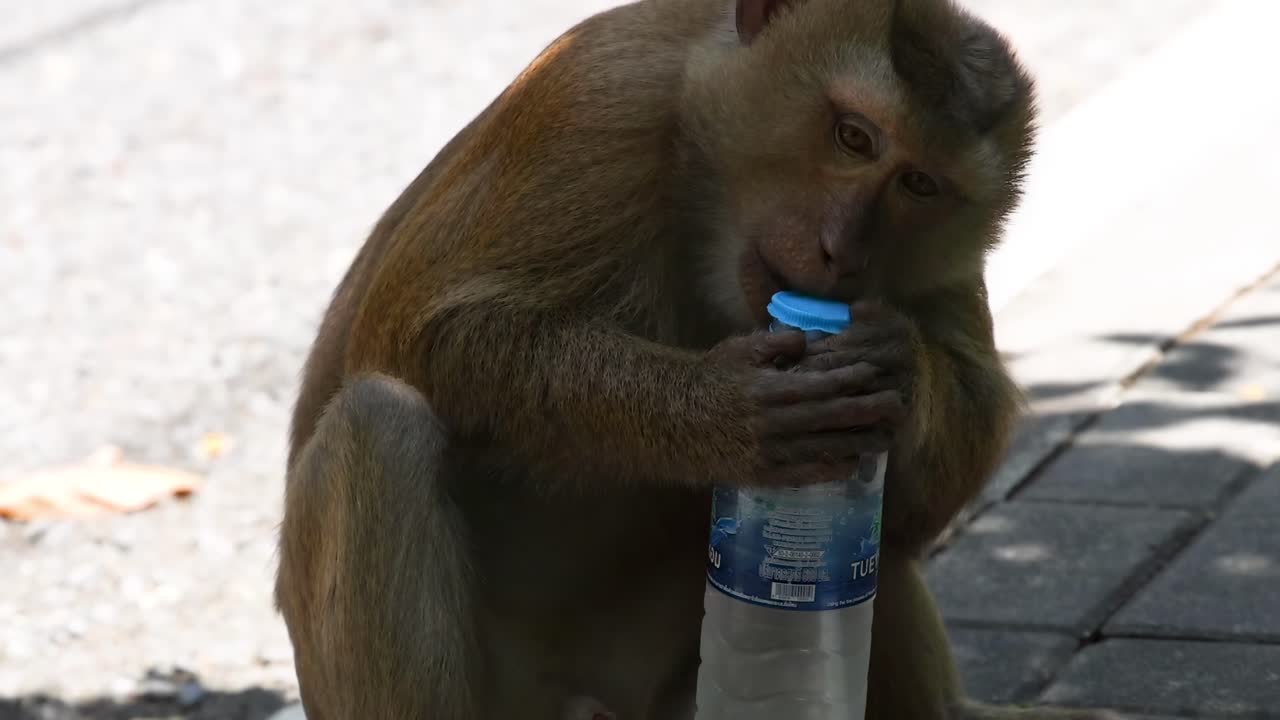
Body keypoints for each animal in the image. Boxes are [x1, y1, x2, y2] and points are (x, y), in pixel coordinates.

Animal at [274, 0, 1123, 718]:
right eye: (853, 136)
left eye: (921, 183)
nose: (841, 252)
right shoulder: (597, 100)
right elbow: (425, 330)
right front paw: (725, 411)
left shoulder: (944, 258)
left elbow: (933, 485)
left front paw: (899, 368)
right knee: (377, 424)